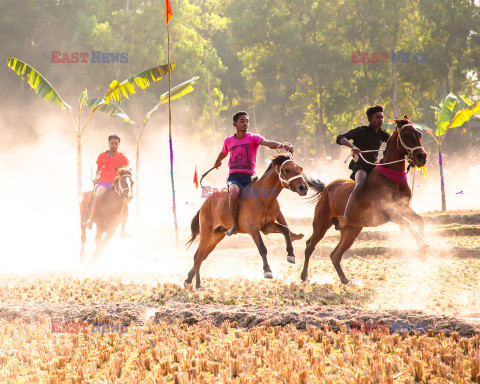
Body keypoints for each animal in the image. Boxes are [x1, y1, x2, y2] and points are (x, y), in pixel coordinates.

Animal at [184, 154, 308, 290]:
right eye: (287, 170)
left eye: (300, 168)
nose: (303, 187)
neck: (262, 197)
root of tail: (206, 202)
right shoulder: (253, 229)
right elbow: (262, 248)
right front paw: (267, 270)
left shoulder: (267, 227)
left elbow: (284, 229)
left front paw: (291, 254)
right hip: (206, 232)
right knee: (199, 257)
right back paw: (198, 284)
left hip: (218, 234)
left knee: (201, 256)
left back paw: (188, 280)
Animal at [302, 118, 430, 284]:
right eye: (405, 134)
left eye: (419, 133)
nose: (421, 157)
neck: (391, 177)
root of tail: (326, 188)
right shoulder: (389, 212)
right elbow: (408, 223)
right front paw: (422, 243)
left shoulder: (404, 208)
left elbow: (419, 220)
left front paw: (422, 251)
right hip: (321, 223)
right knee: (309, 246)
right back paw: (304, 276)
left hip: (351, 230)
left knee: (335, 255)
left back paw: (345, 279)